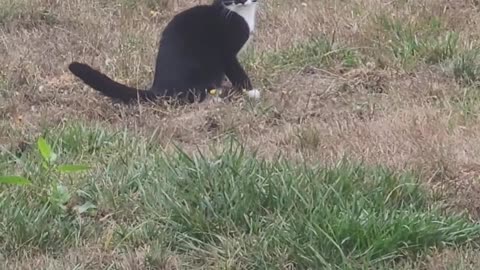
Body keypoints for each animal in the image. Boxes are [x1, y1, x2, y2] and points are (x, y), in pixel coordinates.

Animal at [68, 0, 260, 105]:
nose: (241, 1)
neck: (241, 14)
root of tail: (158, 88)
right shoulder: (227, 54)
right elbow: (238, 73)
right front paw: (251, 92)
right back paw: (215, 97)